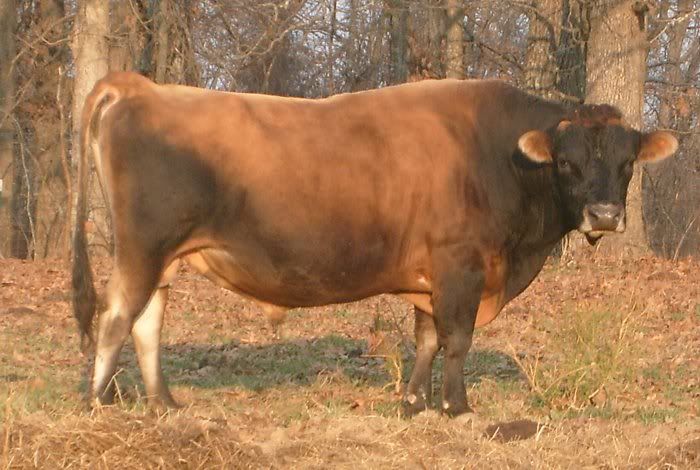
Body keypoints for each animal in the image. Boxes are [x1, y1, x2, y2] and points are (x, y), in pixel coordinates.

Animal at [72, 72, 677, 417]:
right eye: (567, 163)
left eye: (627, 163)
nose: (605, 215)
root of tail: (144, 88)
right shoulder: (461, 263)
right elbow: (457, 339)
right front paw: (458, 408)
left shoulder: (434, 274)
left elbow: (428, 339)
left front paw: (414, 403)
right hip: (142, 248)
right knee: (116, 316)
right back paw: (99, 404)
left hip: (165, 258)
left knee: (147, 322)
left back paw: (163, 404)